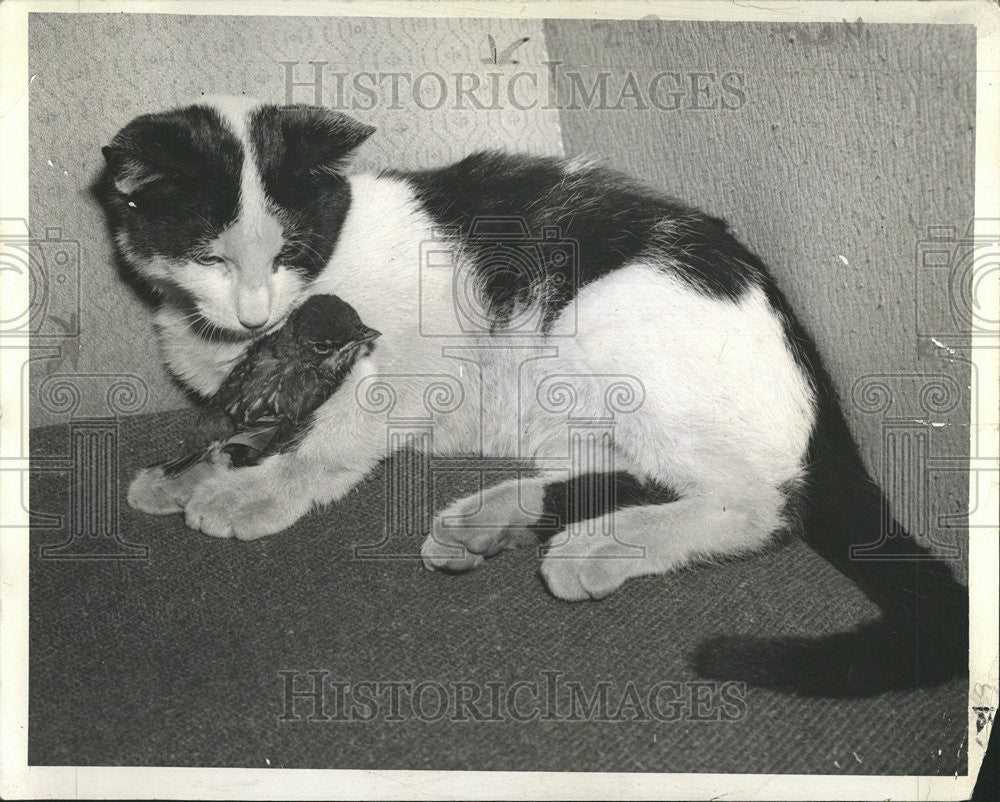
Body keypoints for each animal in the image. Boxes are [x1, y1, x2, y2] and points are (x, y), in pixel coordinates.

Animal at [101, 94, 968, 692]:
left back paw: (588, 549)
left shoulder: (409, 366)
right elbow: (238, 425)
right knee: (630, 475)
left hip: (605, 321)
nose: (256, 312)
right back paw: (492, 522)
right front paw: (186, 474)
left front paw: (250, 493)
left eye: (290, 250)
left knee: (758, 505)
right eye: (208, 256)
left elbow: (331, 438)